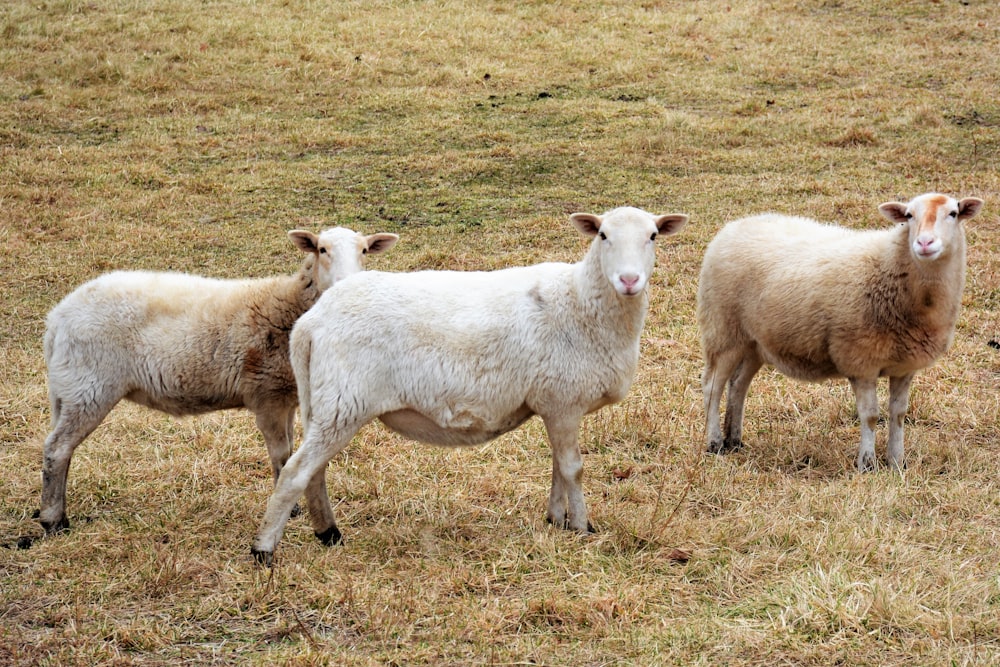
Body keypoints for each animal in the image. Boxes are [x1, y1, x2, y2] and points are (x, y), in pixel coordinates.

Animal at [38, 227, 398, 536]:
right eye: (321, 249)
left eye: (364, 250)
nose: (348, 283)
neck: (287, 302)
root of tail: (57, 319)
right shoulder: (266, 395)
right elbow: (281, 454)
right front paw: (289, 508)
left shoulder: (286, 397)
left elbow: (290, 449)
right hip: (90, 386)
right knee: (58, 448)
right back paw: (53, 520)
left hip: (69, 390)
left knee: (60, 448)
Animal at [249, 207, 688, 564]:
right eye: (603, 236)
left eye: (653, 236)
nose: (629, 280)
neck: (581, 301)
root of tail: (311, 323)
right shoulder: (563, 400)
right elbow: (573, 468)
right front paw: (582, 527)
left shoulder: (553, 403)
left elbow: (557, 467)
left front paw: (555, 519)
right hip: (344, 401)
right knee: (294, 472)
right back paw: (264, 550)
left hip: (324, 402)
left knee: (314, 471)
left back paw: (328, 533)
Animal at [696, 193, 984, 472]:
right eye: (909, 215)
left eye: (953, 213)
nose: (924, 243)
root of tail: (734, 226)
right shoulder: (860, 360)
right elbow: (870, 415)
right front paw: (867, 464)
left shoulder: (904, 366)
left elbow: (899, 414)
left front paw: (897, 462)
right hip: (723, 331)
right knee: (712, 386)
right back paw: (715, 443)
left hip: (754, 341)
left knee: (738, 385)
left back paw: (734, 440)